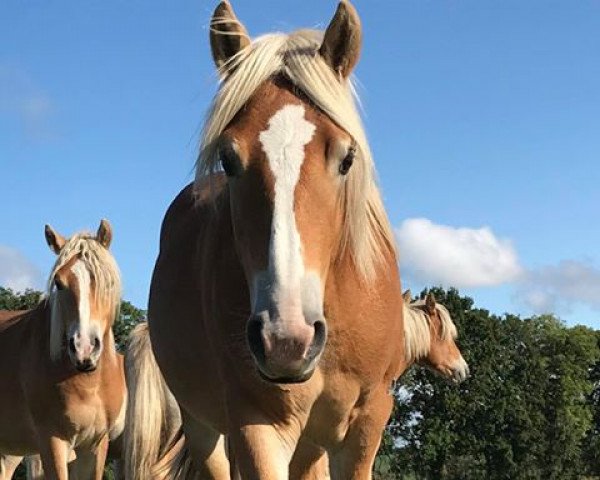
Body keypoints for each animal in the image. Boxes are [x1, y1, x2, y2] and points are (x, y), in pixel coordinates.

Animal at [0, 221, 126, 480]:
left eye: (107, 282)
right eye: (59, 282)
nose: (84, 348)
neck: (89, 383)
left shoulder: (95, 445)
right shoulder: (53, 441)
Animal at [125, 0, 408, 476]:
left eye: (346, 158)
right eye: (227, 158)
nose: (286, 340)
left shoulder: (367, 421)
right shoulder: (255, 423)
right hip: (203, 426)